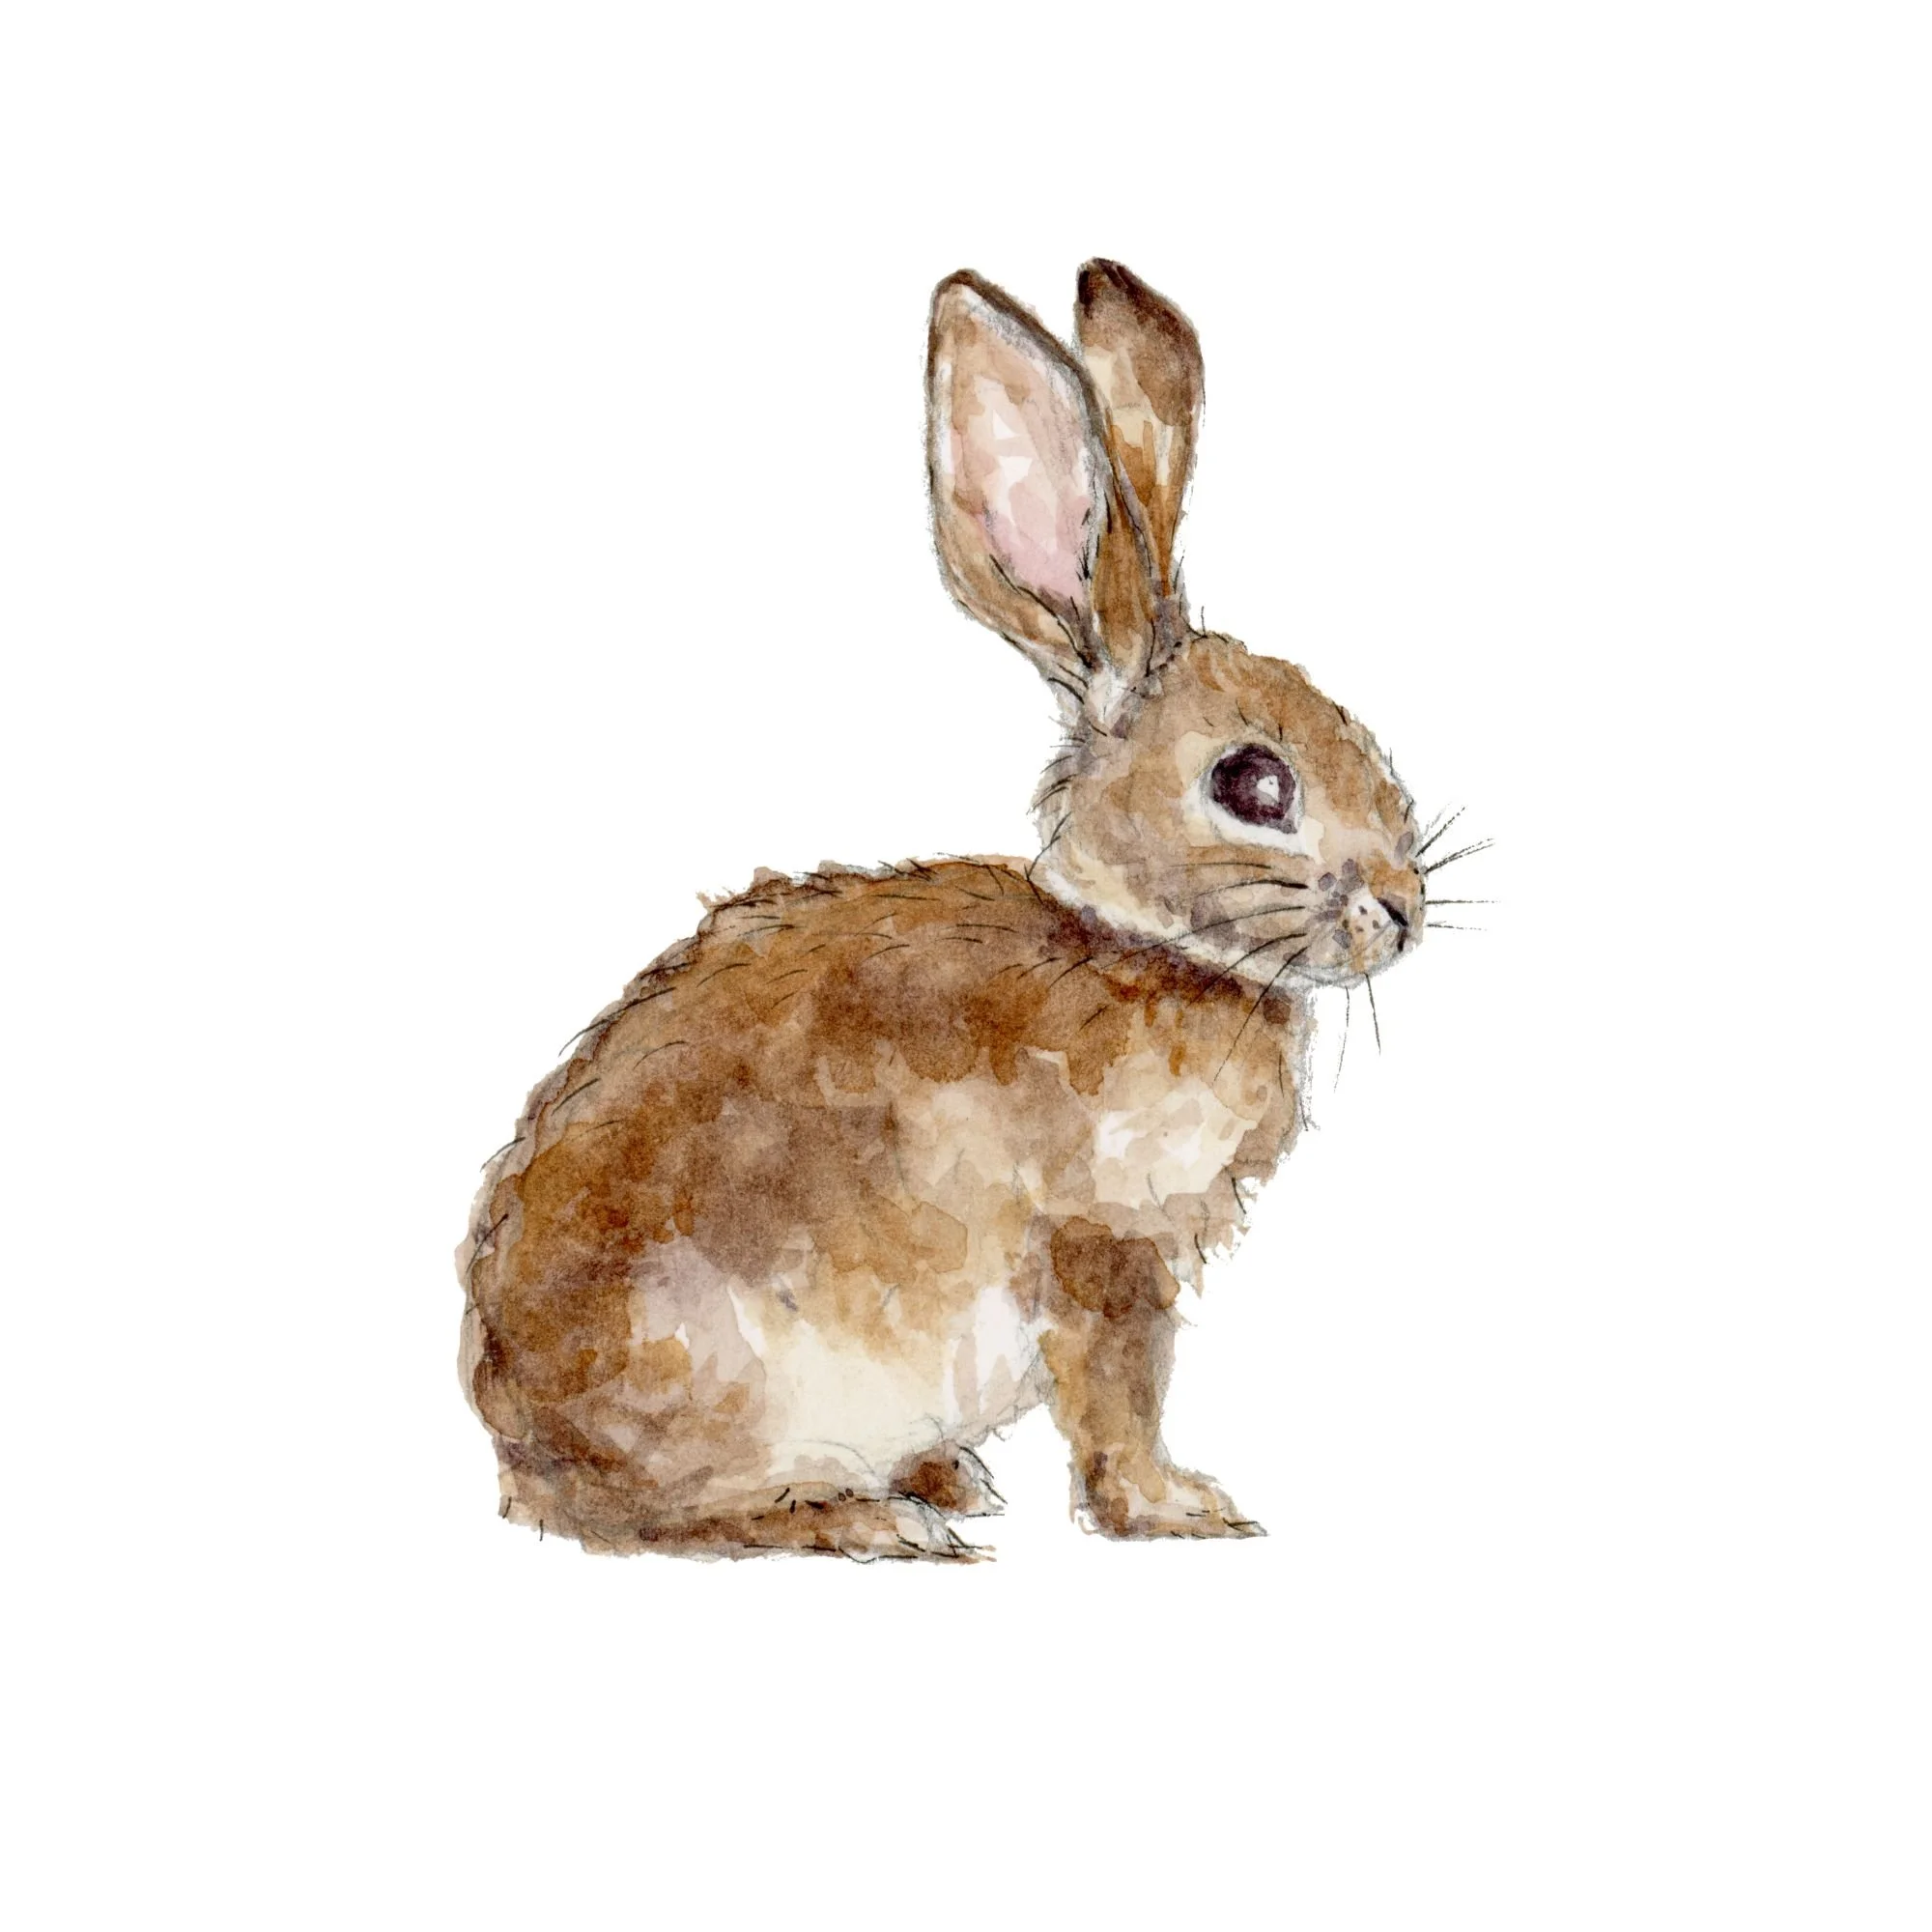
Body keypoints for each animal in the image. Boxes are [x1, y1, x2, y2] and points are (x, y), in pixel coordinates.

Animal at [457, 260, 1427, 1560]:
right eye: (1253, 784)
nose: (1402, 906)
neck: (1138, 945)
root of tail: (517, 1447)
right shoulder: (1102, 1249)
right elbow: (1118, 1394)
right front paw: (1175, 1508)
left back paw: (942, 1477)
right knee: (663, 1518)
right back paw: (875, 1519)